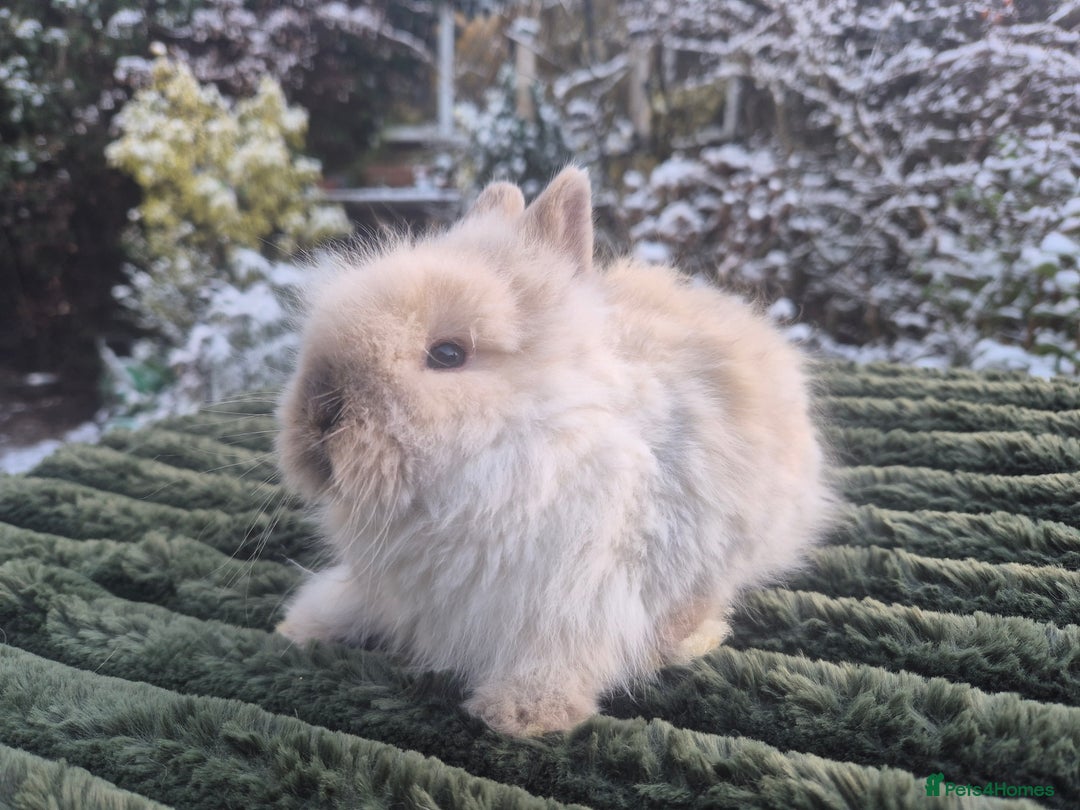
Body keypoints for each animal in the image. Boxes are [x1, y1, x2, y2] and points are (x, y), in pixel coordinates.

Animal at [275, 166, 834, 736]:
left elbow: (564, 651)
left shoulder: (578, 595)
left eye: (448, 354)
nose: (319, 414)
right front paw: (304, 624)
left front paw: (522, 713)